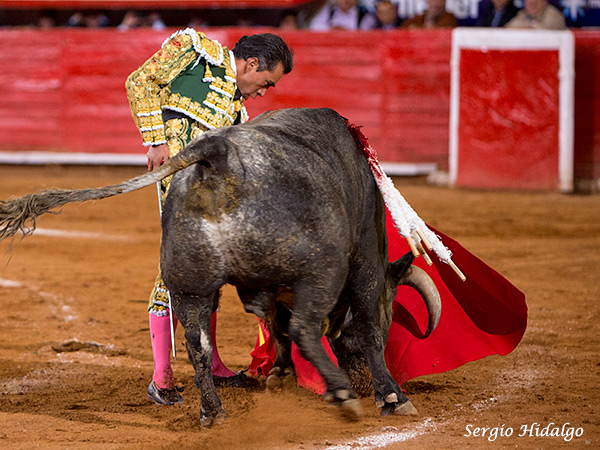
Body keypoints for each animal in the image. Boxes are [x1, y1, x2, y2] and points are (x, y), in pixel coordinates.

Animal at [0, 108, 440, 426]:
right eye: (392, 305)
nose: (360, 379)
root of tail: (219, 155)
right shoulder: (364, 260)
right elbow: (365, 327)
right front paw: (390, 395)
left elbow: (275, 325)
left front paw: (279, 375)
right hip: (321, 269)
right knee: (303, 327)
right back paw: (345, 396)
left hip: (189, 283)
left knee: (197, 341)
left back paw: (212, 412)